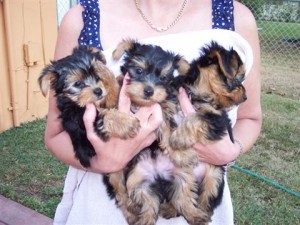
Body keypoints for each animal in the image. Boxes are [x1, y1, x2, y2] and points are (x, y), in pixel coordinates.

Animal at [170, 41, 247, 223]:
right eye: (239, 77)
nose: (246, 96)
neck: (198, 95)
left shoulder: (216, 120)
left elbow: (196, 118)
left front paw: (178, 139)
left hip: (214, 179)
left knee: (205, 201)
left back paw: (201, 216)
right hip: (182, 174)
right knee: (181, 196)